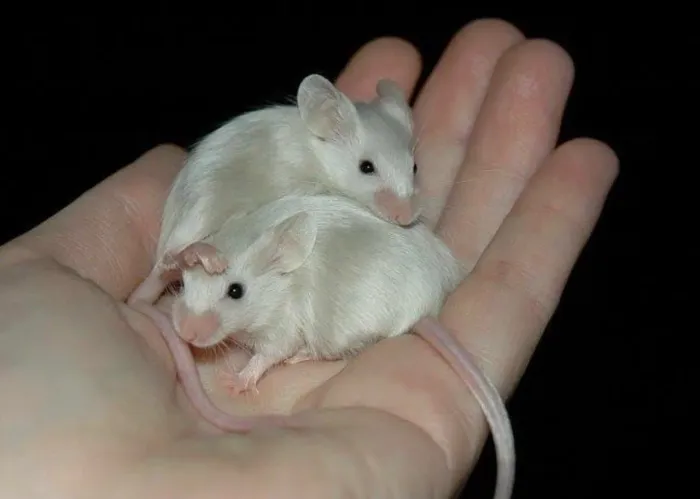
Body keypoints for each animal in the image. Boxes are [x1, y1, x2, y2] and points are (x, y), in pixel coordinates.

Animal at [127, 74, 421, 306]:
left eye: (415, 167)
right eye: (366, 167)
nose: (407, 218)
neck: (319, 157)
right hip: (203, 211)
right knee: (172, 257)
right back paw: (202, 254)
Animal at [168, 194, 515, 499]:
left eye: (236, 291)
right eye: (184, 283)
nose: (185, 332)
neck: (279, 286)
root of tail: (424, 308)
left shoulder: (281, 328)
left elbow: (266, 356)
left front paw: (236, 381)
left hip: (337, 331)